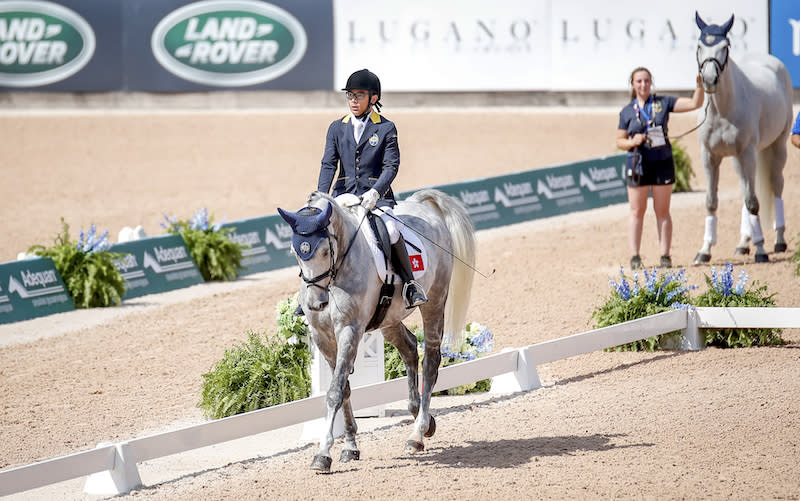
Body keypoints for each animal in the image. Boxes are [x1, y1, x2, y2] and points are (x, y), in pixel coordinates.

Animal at [278, 188, 476, 472]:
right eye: (295, 252)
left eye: (325, 251)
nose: (317, 303)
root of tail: (421, 205)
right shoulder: (322, 336)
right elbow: (344, 389)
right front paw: (350, 447)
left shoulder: (349, 330)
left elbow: (335, 391)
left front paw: (323, 454)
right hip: (389, 319)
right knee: (410, 348)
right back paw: (423, 419)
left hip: (435, 302)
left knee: (430, 361)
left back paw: (417, 434)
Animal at [692, 11, 792, 264]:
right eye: (699, 46)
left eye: (725, 46)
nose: (709, 80)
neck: (722, 110)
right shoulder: (709, 156)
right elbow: (711, 202)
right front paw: (704, 251)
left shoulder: (746, 152)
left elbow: (754, 203)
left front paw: (761, 251)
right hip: (740, 159)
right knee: (746, 189)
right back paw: (743, 244)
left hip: (777, 147)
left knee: (776, 185)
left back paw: (778, 241)